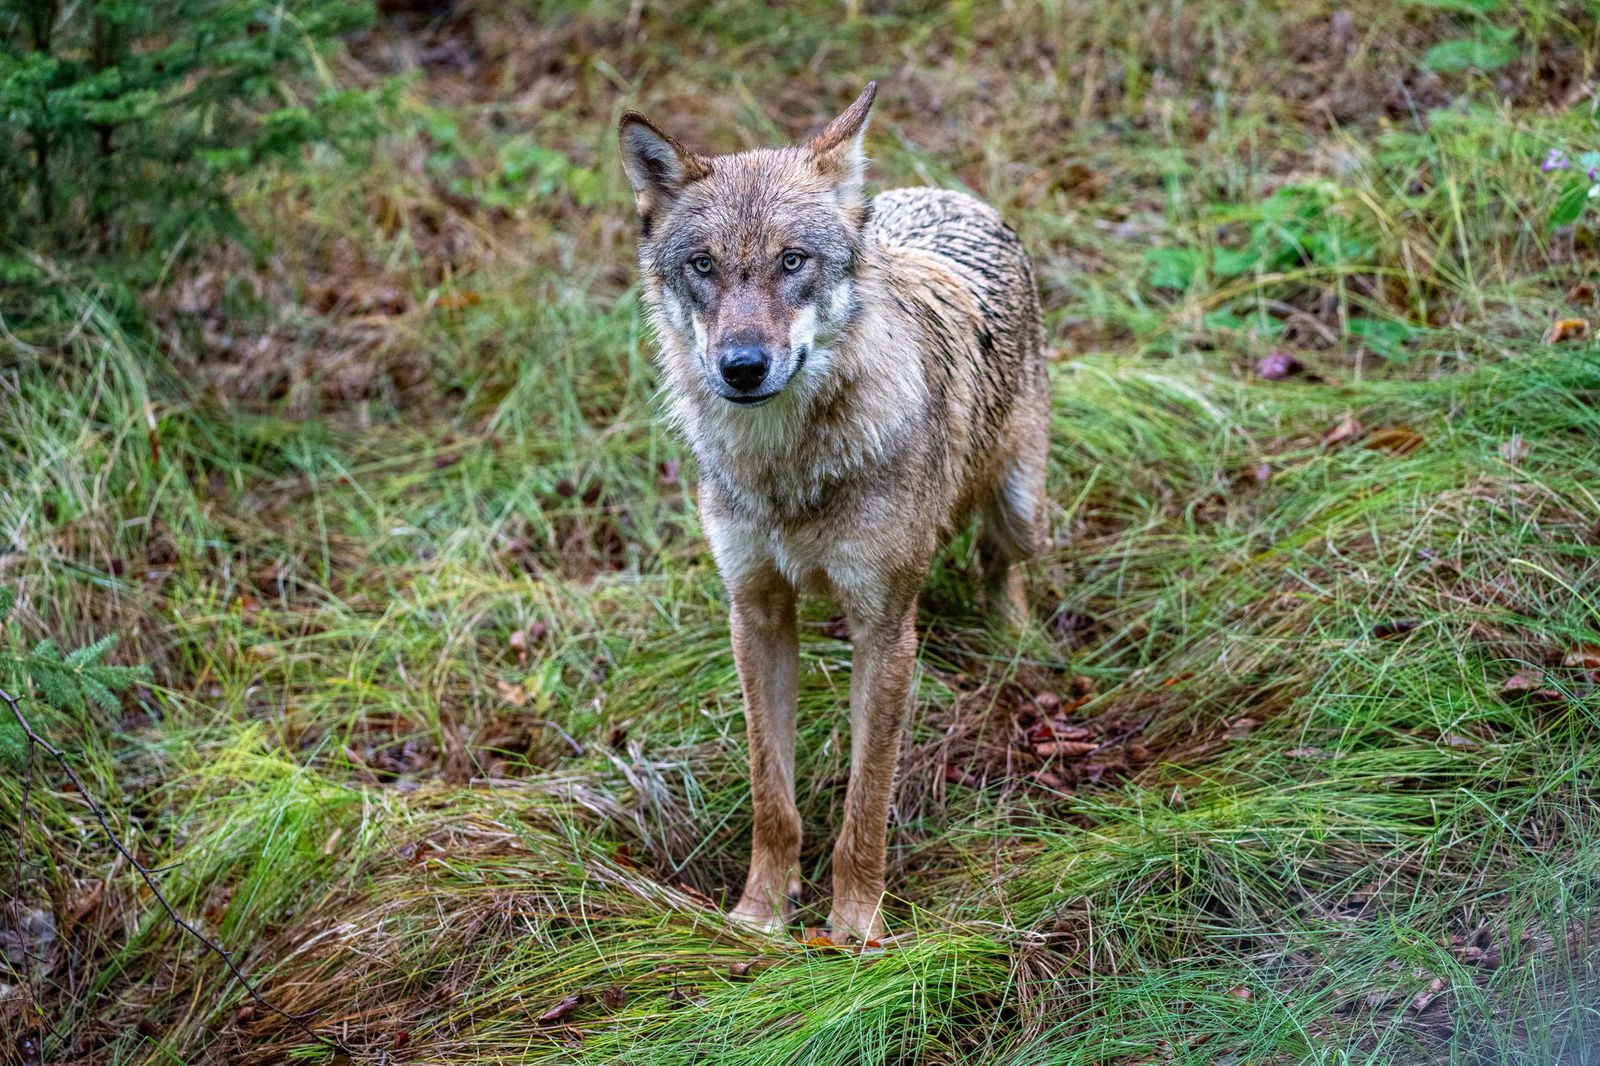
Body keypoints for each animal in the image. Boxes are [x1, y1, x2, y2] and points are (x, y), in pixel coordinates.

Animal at [618, 82, 1049, 942]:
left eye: (793, 261)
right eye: (703, 266)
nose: (742, 367)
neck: (788, 468)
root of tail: (948, 195)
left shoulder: (884, 631)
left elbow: (865, 802)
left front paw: (854, 932)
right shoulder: (754, 613)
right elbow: (771, 797)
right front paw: (759, 915)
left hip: (1019, 507)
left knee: (1001, 561)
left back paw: (1016, 641)